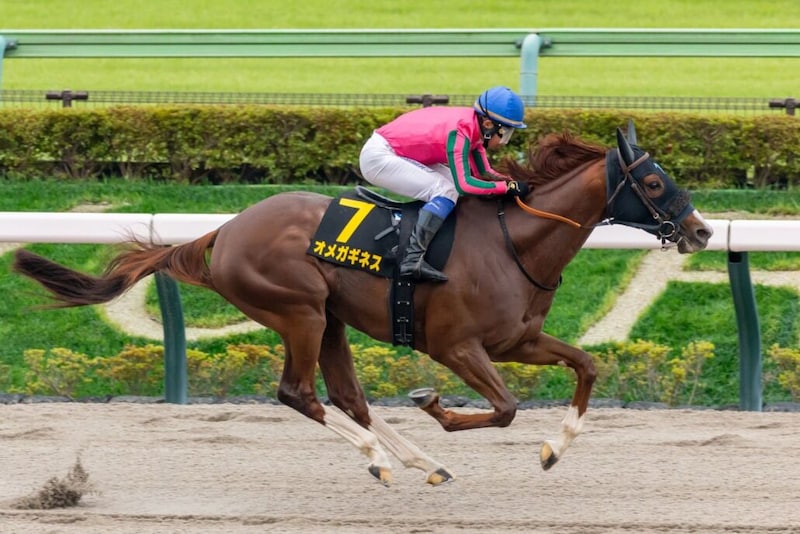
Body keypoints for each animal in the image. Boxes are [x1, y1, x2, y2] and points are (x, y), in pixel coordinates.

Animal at [13, 128, 713, 486]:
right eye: (654, 182)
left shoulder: (517, 341)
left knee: (346, 396)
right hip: (298, 311)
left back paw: (419, 462)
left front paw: (554, 449)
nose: (703, 232)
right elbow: (505, 408)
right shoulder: (456, 346)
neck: (516, 243)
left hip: (330, 318)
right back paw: (381, 459)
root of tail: (225, 230)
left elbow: (587, 368)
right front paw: (434, 405)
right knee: (298, 393)